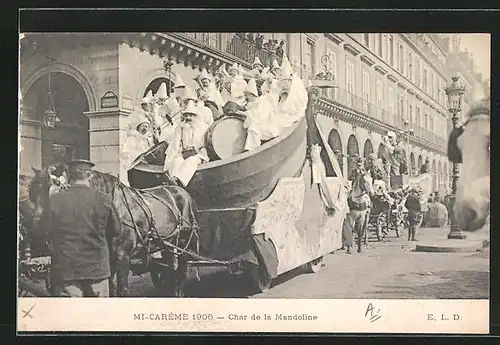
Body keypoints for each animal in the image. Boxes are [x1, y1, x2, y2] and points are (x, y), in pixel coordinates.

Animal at [27, 164, 199, 296]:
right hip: (168, 245)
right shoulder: (107, 259)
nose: (35, 226)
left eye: (51, 190)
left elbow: (121, 291)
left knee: (182, 271)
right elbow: (109, 289)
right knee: (172, 268)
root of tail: (183, 191)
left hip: (184, 242)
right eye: (32, 193)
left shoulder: (123, 257)